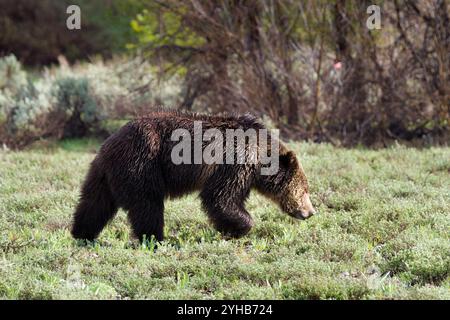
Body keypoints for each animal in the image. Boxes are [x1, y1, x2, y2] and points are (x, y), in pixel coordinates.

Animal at [71, 110, 316, 242]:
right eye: (305, 190)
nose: (311, 212)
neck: (260, 156)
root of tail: (108, 145)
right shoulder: (235, 161)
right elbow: (219, 197)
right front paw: (239, 228)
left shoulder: (244, 174)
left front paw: (230, 229)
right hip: (142, 164)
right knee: (148, 205)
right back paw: (156, 239)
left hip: (102, 175)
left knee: (94, 204)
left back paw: (81, 234)